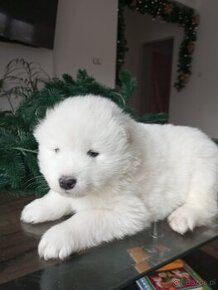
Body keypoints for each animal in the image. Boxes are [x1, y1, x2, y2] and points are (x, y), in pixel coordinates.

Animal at [21, 95, 218, 260]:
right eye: (56, 150)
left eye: (93, 153)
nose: (66, 181)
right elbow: (57, 197)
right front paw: (36, 208)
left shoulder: (128, 211)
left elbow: (83, 221)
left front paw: (56, 238)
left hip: (206, 171)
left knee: (205, 204)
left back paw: (182, 217)